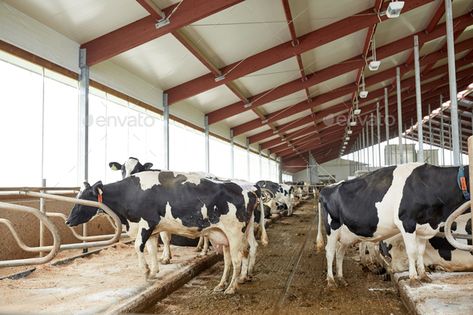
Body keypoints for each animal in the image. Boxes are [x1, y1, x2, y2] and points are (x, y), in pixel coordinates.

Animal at [66, 172, 266, 296]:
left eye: (84, 199)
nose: (67, 221)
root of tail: (249, 189)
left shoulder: (146, 223)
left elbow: (138, 247)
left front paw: (146, 271)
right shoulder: (153, 229)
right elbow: (152, 248)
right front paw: (154, 270)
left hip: (234, 233)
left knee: (237, 259)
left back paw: (232, 288)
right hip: (226, 235)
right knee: (235, 257)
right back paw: (224, 284)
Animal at [318, 163, 468, 288]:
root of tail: (326, 188)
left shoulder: (424, 227)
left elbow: (420, 251)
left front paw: (424, 276)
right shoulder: (407, 222)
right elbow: (411, 251)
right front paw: (414, 279)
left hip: (345, 234)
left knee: (339, 253)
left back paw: (341, 278)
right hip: (332, 228)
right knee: (329, 252)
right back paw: (331, 281)